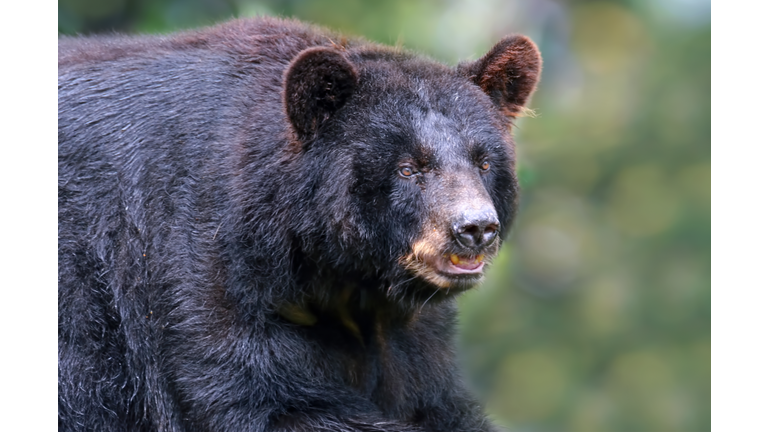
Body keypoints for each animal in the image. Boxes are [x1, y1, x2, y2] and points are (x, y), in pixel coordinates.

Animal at [58, 16, 540, 432]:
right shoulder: (194, 259)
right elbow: (254, 392)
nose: (475, 228)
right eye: (408, 168)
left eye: (483, 162)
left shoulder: (407, 331)